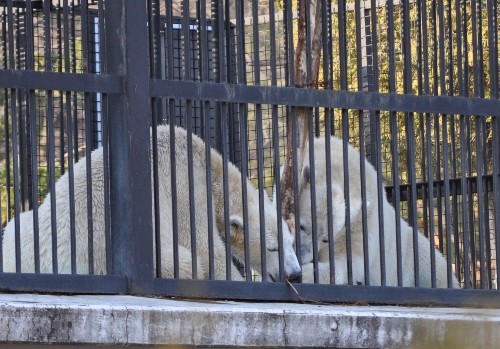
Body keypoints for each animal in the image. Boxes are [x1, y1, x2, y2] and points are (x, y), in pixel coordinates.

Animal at [2, 123, 300, 282]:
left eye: (291, 242)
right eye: (272, 248)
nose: (296, 274)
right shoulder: (186, 188)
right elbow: (206, 250)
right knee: (183, 261)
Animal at [292, 135, 460, 286]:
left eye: (326, 239)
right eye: (301, 226)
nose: (302, 254)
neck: (339, 171)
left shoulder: (361, 223)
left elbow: (349, 263)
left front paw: (305, 274)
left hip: (413, 253)